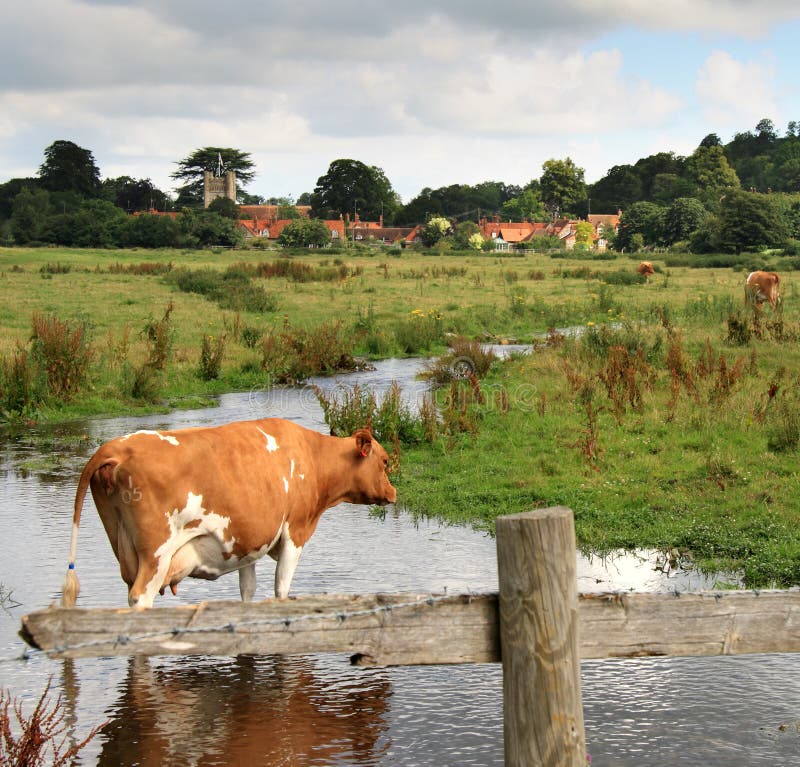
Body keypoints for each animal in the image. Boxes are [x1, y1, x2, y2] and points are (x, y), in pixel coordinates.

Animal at [61, 416, 396, 608]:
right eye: (384, 461)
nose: (393, 493)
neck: (311, 457)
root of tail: (115, 448)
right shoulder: (296, 531)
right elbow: (282, 589)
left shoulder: (247, 541)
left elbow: (248, 589)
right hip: (156, 554)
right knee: (141, 598)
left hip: (123, 545)